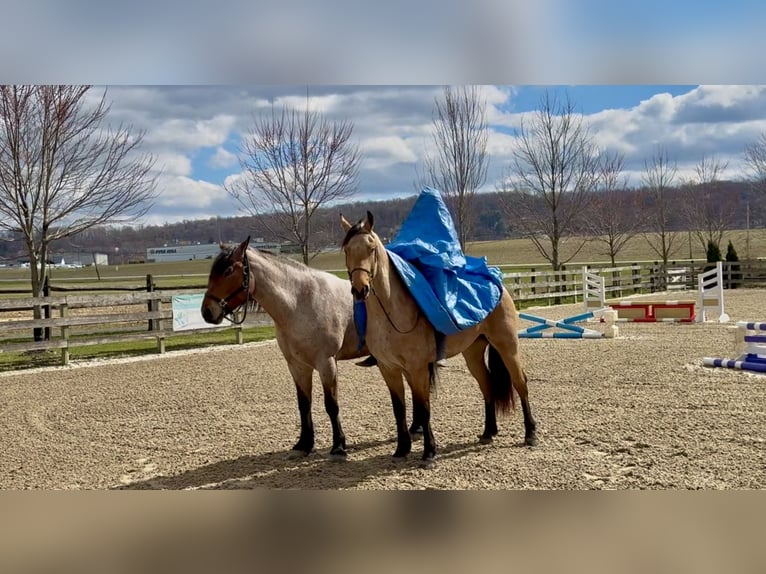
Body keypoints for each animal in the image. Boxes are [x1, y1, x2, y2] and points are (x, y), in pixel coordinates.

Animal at [200, 236, 371, 458]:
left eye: (228, 271)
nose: (207, 311)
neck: (300, 302)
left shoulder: (327, 364)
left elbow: (331, 405)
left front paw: (339, 445)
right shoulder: (298, 366)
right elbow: (303, 404)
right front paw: (305, 443)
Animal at [340, 211, 538, 463]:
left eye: (371, 248)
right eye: (347, 250)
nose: (360, 289)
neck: (392, 313)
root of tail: (498, 286)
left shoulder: (417, 368)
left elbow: (424, 408)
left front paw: (429, 451)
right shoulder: (389, 368)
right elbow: (399, 408)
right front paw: (402, 448)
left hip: (507, 346)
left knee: (520, 382)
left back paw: (530, 432)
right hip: (473, 352)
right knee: (487, 385)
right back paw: (488, 432)